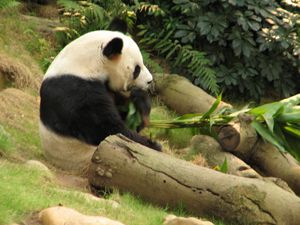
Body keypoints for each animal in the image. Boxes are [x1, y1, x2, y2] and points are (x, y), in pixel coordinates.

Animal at [40, 20, 162, 173]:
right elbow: (108, 130)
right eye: (137, 69)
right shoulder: (77, 92)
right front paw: (153, 145)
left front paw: (141, 105)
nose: (150, 81)